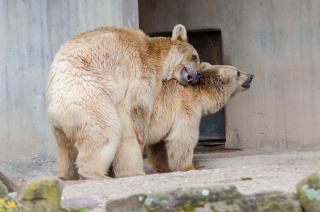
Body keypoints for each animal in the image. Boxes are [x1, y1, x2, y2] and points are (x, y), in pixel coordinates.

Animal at [46, 25, 201, 181]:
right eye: (194, 56)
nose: (199, 75)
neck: (153, 55)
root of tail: (55, 107)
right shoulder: (140, 72)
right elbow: (137, 109)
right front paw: (140, 144)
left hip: (62, 121)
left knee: (65, 147)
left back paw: (67, 174)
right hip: (88, 95)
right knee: (105, 130)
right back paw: (96, 174)